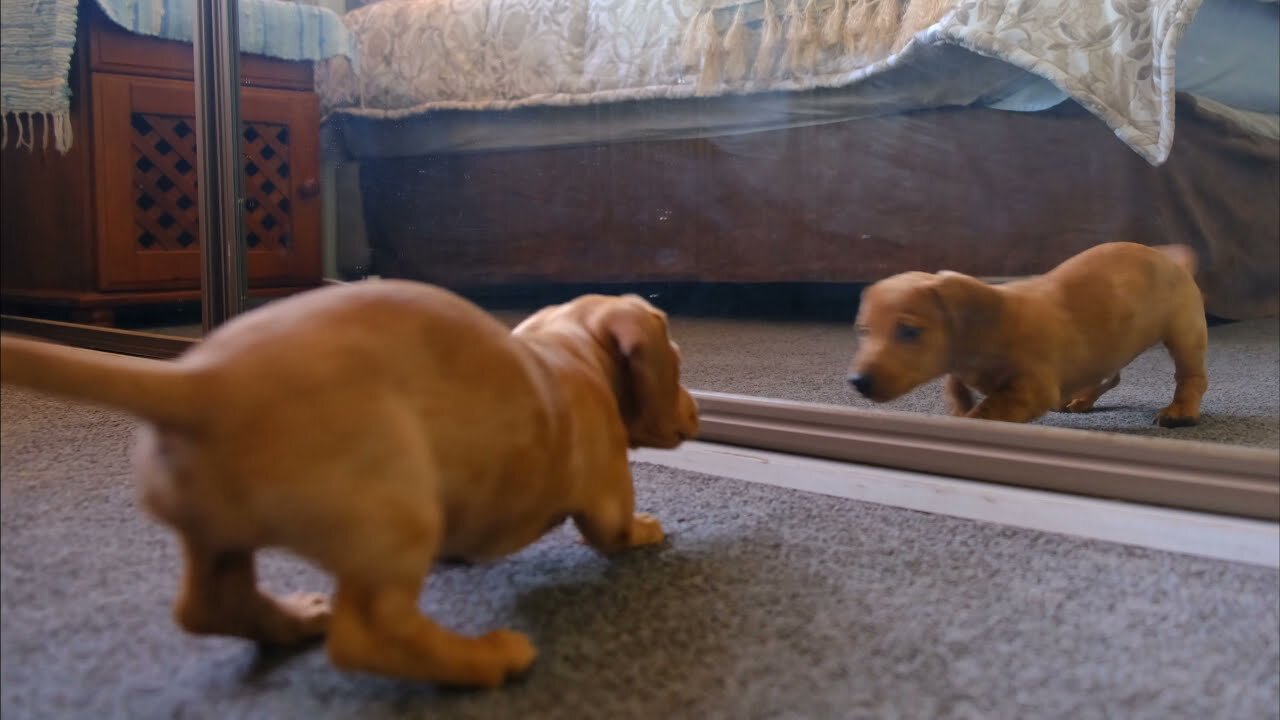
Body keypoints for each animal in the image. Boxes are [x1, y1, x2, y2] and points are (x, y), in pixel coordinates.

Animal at [0, 279, 701, 681]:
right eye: (677, 361)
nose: (696, 413)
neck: (568, 351)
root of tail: (204, 382)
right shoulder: (605, 488)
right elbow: (614, 529)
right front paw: (648, 529)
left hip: (215, 529)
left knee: (208, 604)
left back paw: (291, 619)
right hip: (399, 508)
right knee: (369, 635)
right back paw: (484, 660)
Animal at [849, 243, 1208, 425]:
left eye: (909, 331)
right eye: (864, 331)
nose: (857, 381)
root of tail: (1174, 261)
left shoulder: (1031, 388)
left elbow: (991, 409)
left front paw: (971, 418)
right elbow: (955, 385)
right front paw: (959, 406)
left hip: (1185, 333)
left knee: (1191, 378)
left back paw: (1180, 411)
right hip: (1109, 346)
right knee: (1109, 375)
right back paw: (1081, 398)